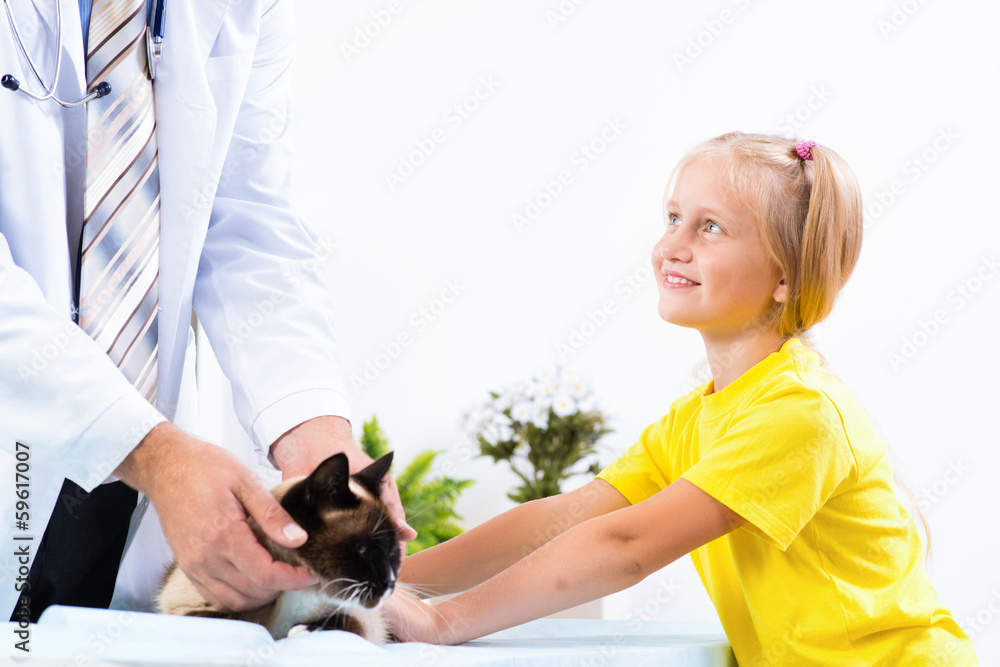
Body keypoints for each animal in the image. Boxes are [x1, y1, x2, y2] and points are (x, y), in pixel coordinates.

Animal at [156, 452, 402, 644]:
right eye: (361, 549)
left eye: (392, 553)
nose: (390, 583)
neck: (305, 592)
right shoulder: (188, 608)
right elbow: (242, 623)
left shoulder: (361, 620)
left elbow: (348, 624)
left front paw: (303, 630)